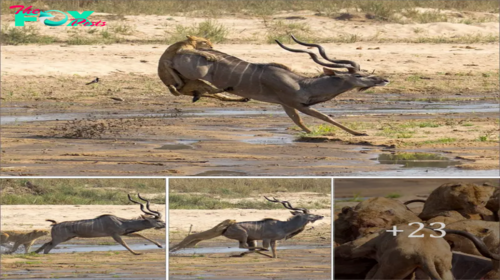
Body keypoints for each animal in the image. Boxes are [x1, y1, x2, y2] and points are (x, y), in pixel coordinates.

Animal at [35, 194, 164, 255]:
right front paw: (136, 253)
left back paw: (35, 252)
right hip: (59, 239)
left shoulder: (125, 232)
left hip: (66, 238)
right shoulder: (115, 234)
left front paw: (159, 245)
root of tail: (55, 225)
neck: (121, 221)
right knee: (48, 247)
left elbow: (139, 235)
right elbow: (123, 243)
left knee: (46, 244)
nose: (164, 224)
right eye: (158, 221)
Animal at [170, 35, 388, 136]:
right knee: (180, 86)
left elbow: (298, 122)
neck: (302, 84)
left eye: (365, 71)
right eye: (359, 75)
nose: (383, 79)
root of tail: (179, 54)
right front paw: (359, 133)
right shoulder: (296, 103)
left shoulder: (286, 105)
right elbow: (325, 117)